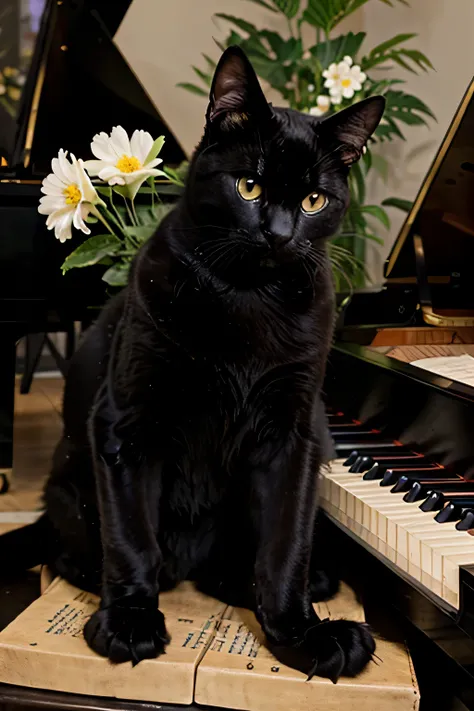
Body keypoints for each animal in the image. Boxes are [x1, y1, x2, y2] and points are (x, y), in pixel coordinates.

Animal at [0, 47, 384, 680]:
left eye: (313, 200)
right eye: (249, 185)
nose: (278, 235)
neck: (249, 299)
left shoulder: (293, 439)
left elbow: (286, 545)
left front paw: (301, 633)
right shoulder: (125, 428)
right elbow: (132, 538)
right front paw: (129, 620)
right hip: (71, 487)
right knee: (75, 546)